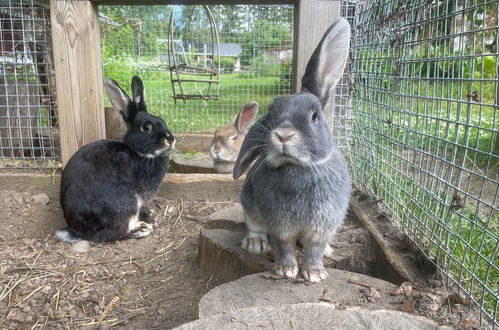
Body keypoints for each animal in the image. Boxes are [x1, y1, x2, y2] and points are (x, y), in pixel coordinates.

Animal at [55, 76, 175, 244]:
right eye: (146, 128)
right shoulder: (143, 197)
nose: (170, 139)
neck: (137, 152)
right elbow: (143, 209)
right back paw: (141, 229)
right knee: (114, 232)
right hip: (127, 204)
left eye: (162, 120)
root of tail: (79, 232)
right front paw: (151, 220)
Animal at [233, 18, 352, 282]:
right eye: (272, 113)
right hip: (248, 203)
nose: (283, 135)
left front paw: (315, 273)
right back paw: (255, 243)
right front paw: (285, 270)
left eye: (314, 116)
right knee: (254, 225)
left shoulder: (322, 225)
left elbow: (314, 248)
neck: (297, 167)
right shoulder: (280, 225)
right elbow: (284, 246)